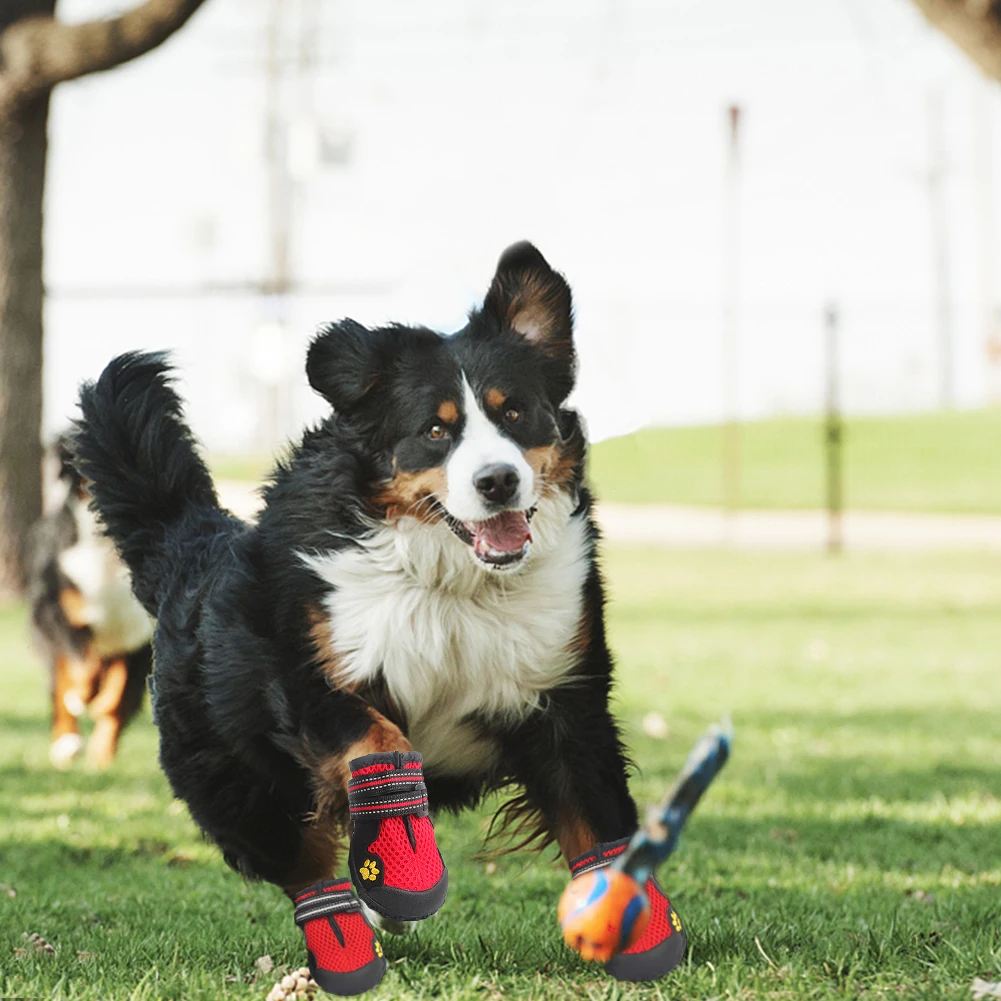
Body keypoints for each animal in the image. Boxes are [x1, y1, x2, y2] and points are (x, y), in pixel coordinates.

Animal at [27, 436, 153, 764]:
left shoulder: (139, 634)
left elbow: (117, 696)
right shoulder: (58, 609)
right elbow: (83, 668)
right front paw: (83, 697)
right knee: (60, 683)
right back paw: (66, 744)